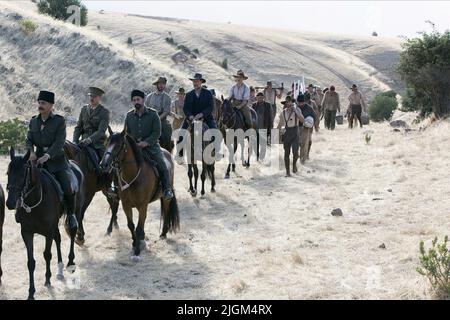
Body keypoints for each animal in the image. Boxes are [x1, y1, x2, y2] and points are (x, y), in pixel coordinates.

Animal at [6, 148, 84, 300]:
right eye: (8, 173)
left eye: (22, 174)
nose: (10, 203)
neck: (34, 202)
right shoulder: (27, 232)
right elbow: (31, 262)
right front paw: (31, 292)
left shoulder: (48, 232)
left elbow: (47, 254)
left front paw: (47, 279)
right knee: (58, 238)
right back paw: (59, 269)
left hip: (75, 212)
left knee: (72, 230)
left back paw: (70, 262)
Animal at [100, 127, 179, 260]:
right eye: (106, 143)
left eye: (119, 145)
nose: (103, 164)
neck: (133, 176)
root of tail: (167, 153)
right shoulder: (126, 205)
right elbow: (131, 225)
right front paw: (134, 243)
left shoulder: (143, 205)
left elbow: (138, 227)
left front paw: (137, 251)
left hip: (165, 197)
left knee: (166, 210)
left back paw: (163, 233)